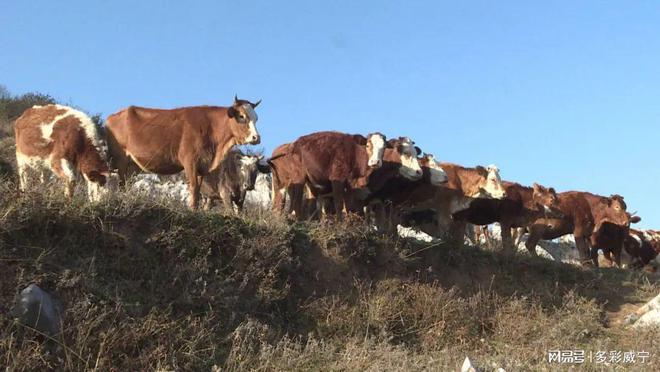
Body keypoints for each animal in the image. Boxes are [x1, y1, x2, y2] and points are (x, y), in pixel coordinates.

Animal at [105, 96, 260, 208]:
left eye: (256, 118)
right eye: (241, 116)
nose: (256, 137)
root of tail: (112, 117)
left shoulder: (202, 166)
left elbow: (198, 190)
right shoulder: (190, 161)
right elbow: (193, 189)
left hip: (132, 166)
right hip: (121, 160)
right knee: (121, 184)